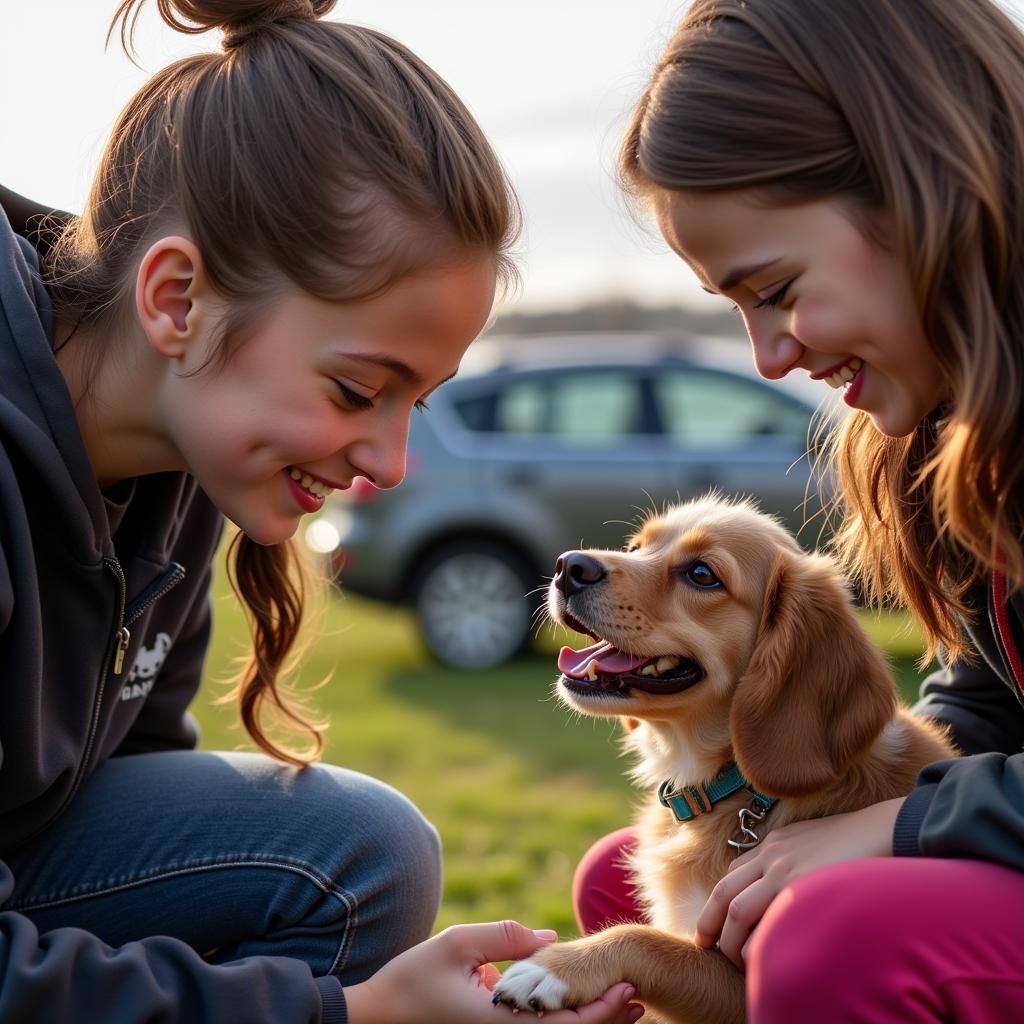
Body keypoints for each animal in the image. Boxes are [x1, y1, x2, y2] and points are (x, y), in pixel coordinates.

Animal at [491, 491, 946, 1019]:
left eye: (702, 574)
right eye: (637, 546)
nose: (569, 566)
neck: (739, 791)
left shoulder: (738, 983)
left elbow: (646, 940)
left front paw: (557, 967)